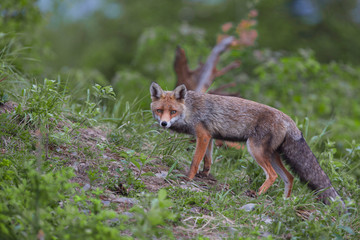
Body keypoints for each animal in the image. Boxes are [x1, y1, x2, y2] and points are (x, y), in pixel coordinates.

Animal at [150, 82, 344, 206]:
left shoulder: (203, 136)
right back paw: (285, 201)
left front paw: (189, 178)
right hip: (272, 155)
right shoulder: (209, 136)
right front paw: (204, 175)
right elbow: (208, 160)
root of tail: (289, 119)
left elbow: (195, 161)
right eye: (159, 110)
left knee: (273, 175)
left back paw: (257, 194)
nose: (164, 124)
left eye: (173, 111)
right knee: (289, 177)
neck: (190, 111)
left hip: (255, 150)